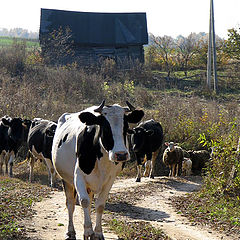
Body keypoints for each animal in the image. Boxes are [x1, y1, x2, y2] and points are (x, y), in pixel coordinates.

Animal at [51, 101, 143, 240]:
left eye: (126, 128)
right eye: (105, 128)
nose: (121, 155)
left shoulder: (110, 179)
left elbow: (99, 205)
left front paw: (97, 233)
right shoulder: (78, 176)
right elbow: (83, 201)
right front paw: (88, 231)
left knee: (88, 204)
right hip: (66, 180)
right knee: (71, 204)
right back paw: (71, 232)